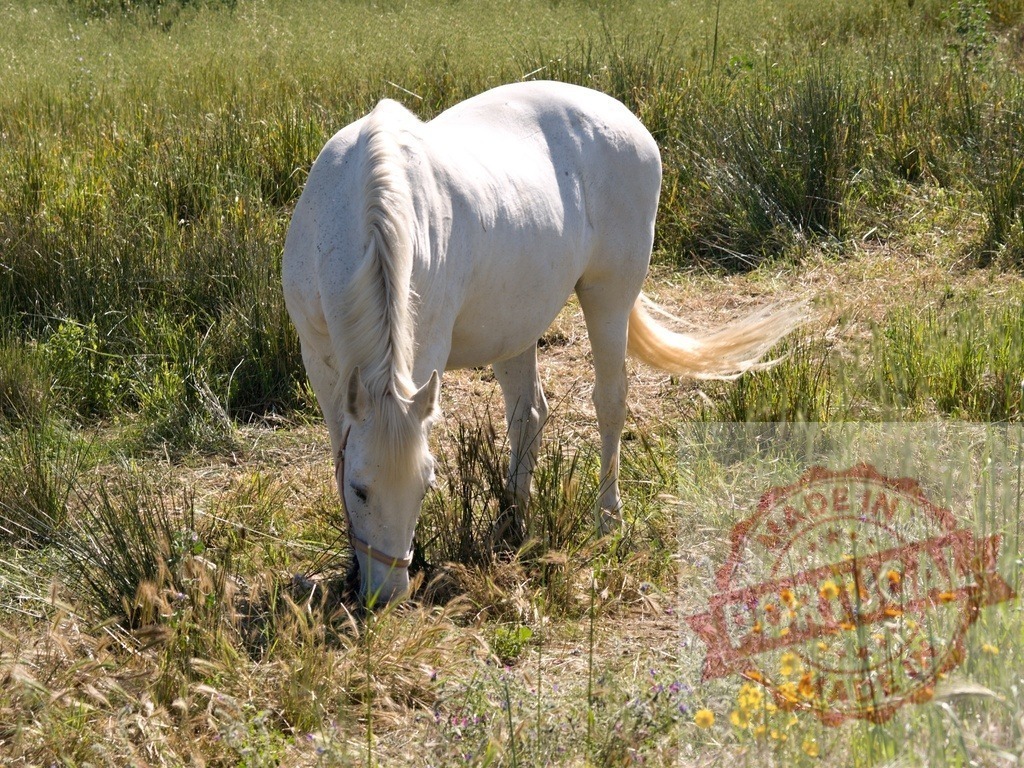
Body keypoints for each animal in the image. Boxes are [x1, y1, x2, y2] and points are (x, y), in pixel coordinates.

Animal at [282, 81, 804, 603]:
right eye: (360, 489)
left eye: (426, 485)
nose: (388, 595)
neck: (364, 210)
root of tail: (622, 115)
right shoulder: (320, 359)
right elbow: (340, 445)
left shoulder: (420, 351)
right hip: (515, 325)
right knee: (528, 414)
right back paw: (512, 526)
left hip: (608, 297)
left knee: (610, 402)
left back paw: (608, 520)